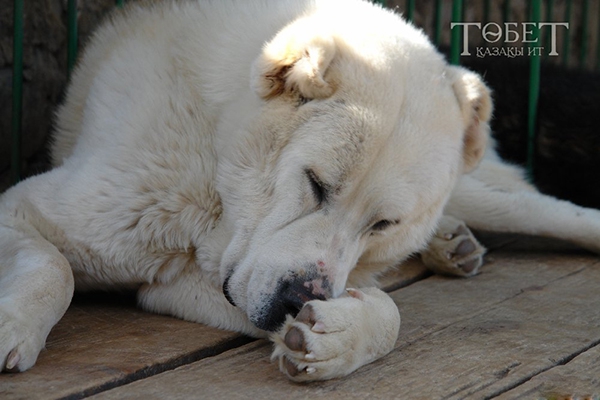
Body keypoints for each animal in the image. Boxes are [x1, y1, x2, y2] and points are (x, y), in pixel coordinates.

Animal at [1, 0, 600, 382]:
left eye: (382, 224)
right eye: (315, 184)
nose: (295, 299)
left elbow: (390, 314)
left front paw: (339, 338)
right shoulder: (35, 210)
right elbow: (54, 268)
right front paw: (14, 325)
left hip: (489, 197)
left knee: (544, 211)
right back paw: (450, 242)